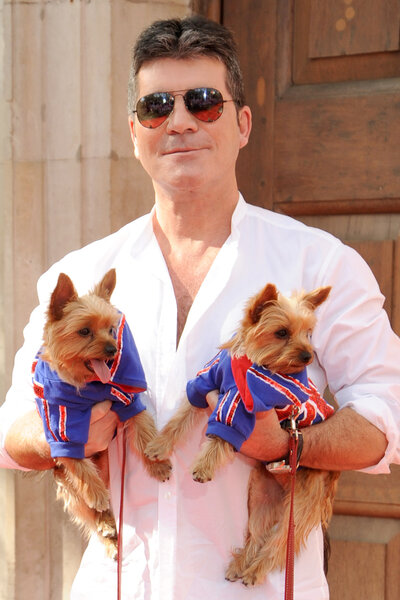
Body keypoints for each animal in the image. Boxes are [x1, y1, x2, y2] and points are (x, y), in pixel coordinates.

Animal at [34, 268, 170, 556]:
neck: (88, 385)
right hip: (68, 486)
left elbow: (143, 429)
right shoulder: (60, 425)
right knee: (87, 508)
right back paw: (106, 528)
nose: (113, 349)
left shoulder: (126, 396)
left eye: (111, 329)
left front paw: (157, 463)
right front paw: (96, 494)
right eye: (84, 331)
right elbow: (77, 464)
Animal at [145, 282, 340, 584]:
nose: (308, 355)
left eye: (308, 332)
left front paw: (203, 466)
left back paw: (255, 571)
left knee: (281, 542)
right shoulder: (205, 383)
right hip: (261, 495)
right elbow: (181, 418)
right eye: (282, 332)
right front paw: (159, 445)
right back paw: (240, 566)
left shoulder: (243, 402)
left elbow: (222, 435)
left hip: (303, 500)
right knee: (257, 533)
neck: (252, 360)